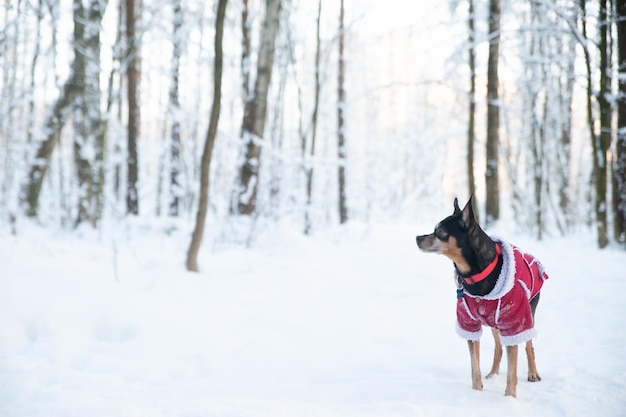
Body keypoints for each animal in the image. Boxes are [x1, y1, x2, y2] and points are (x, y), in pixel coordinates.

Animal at [414, 197, 544, 394]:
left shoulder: (514, 322)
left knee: (529, 345)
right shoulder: (469, 324)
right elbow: (475, 364)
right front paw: (477, 391)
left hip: (527, 313)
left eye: (440, 231)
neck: (477, 275)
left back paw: (533, 374)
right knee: (498, 347)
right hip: (494, 322)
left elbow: (512, 370)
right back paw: (492, 374)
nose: (417, 238)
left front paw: (510, 397)